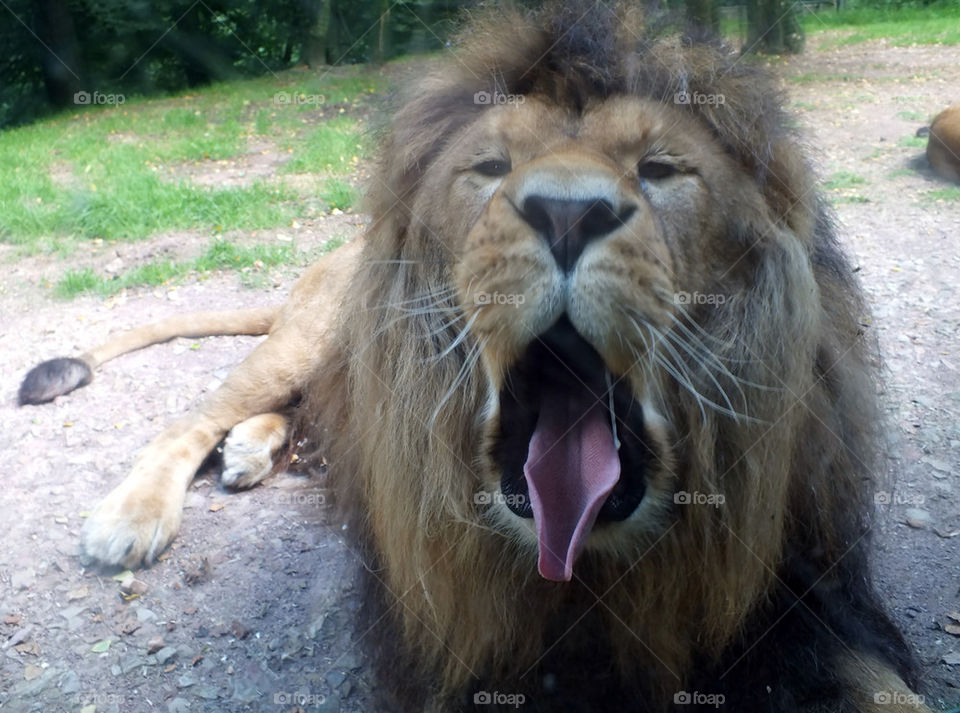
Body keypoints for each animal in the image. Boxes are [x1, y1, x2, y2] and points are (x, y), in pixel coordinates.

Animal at [19, 3, 929, 712]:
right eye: (490, 168)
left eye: (662, 169)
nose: (567, 213)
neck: (585, 567)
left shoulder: (801, 595)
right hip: (296, 341)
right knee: (197, 413)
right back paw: (132, 514)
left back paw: (250, 452)